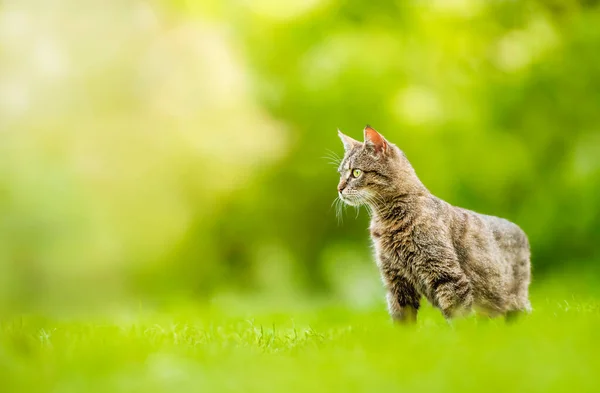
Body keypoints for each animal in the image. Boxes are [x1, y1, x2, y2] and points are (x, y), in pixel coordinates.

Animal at [336, 125, 532, 322]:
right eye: (341, 174)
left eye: (356, 172)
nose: (339, 188)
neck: (387, 220)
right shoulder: (397, 282)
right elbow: (402, 322)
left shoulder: (447, 276)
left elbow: (460, 320)